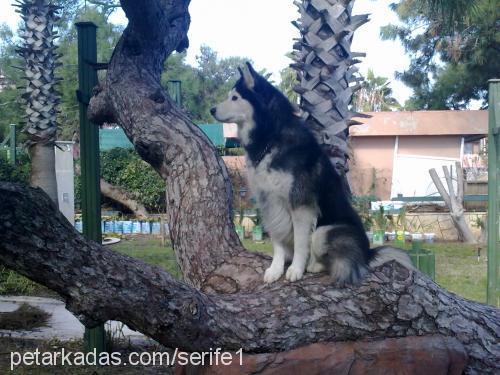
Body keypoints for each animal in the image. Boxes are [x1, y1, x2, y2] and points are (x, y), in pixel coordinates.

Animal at [209, 62, 412, 284]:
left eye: (235, 98)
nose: (211, 109)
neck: (271, 138)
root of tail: (368, 253)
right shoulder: (269, 202)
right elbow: (278, 241)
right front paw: (275, 269)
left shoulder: (300, 204)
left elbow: (300, 242)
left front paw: (296, 269)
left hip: (325, 230)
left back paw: (312, 265)